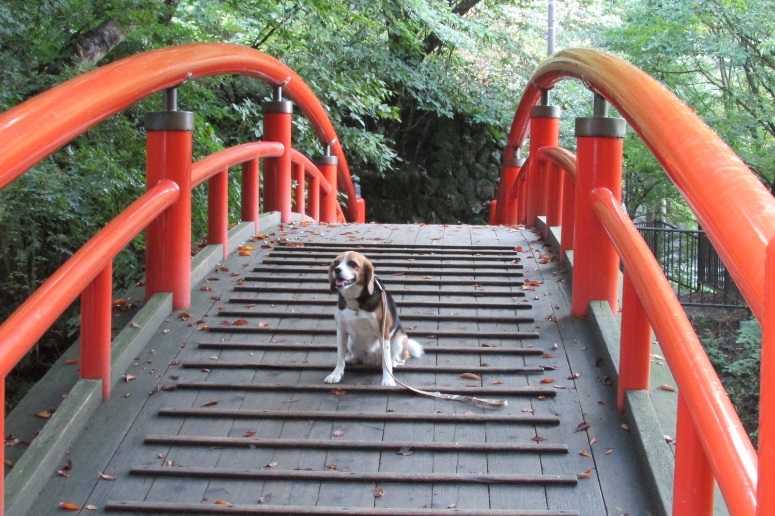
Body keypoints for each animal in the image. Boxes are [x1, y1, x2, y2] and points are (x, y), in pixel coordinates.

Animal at [326, 252, 428, 384]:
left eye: (352, 263)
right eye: (336, 263)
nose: (337, 270)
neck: (357, 301)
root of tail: (372, 359)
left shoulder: (383, 332)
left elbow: (386, 361)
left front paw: (388, 379)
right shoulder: (341, 331)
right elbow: (340, 357)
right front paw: (335, 374)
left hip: (399, 339)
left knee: (400, 357)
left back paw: (395, 362)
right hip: (350, 342)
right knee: (358, 357)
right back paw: (352, 359)